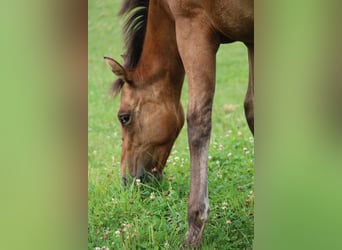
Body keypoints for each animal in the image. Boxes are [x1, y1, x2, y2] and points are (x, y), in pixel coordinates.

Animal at [105, 0, 252, 246]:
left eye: (124, 117)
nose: (126, 181)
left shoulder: (192, 26)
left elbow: (198, 121)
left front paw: (194, 231)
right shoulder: (252, 40)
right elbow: (253, 111)